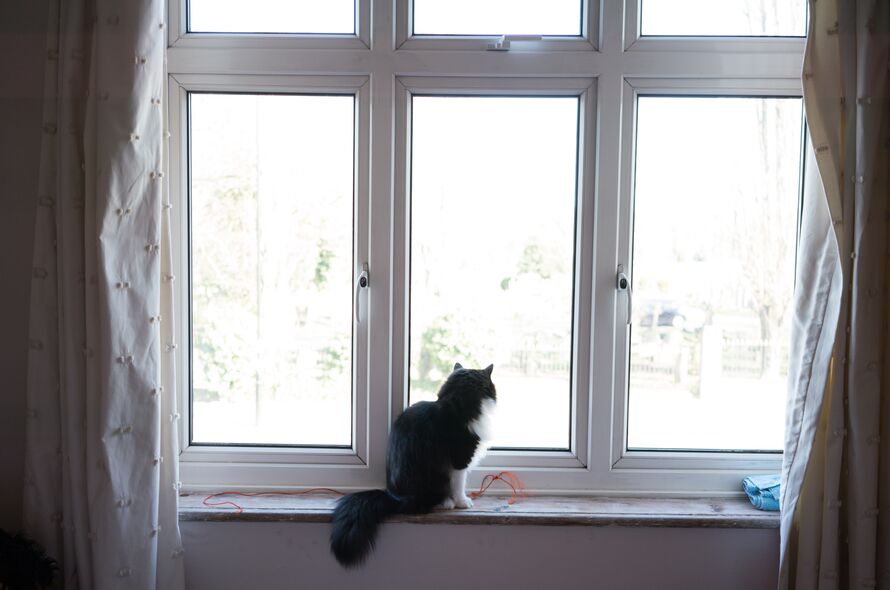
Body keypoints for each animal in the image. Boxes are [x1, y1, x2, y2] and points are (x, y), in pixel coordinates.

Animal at [328, 364, 496, 568]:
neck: (456, 406)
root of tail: (394, 497)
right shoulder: (460, 460)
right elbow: (459, 485)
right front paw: (463, 502)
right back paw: (446, 503)